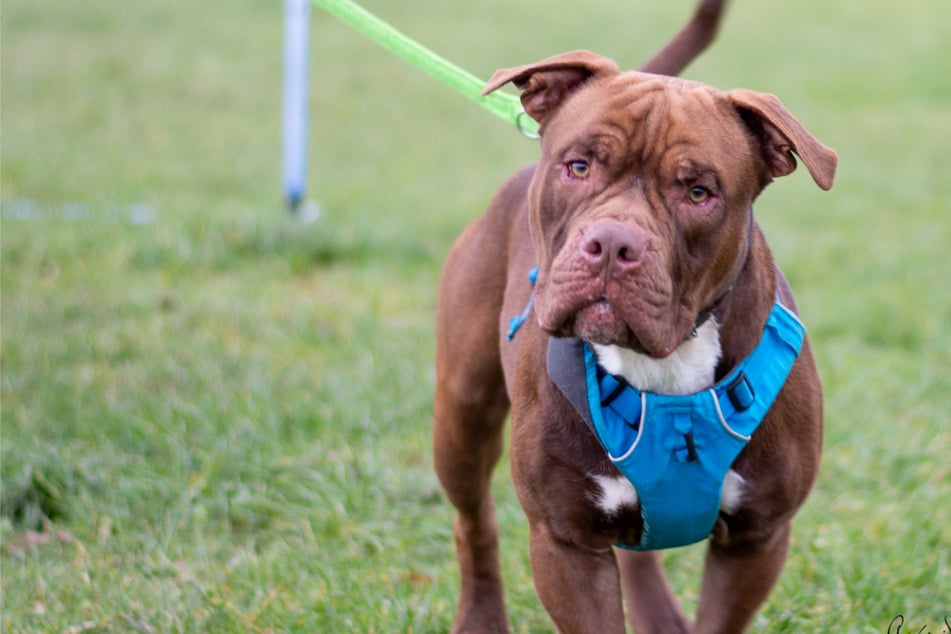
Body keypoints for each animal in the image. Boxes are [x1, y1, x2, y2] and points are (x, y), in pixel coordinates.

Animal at [436, 2, 836, 628]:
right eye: (578, 167)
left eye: (698, 193)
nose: (612, 244)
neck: (666, 365)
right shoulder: (565, 543)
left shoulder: (756, 540)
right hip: (463, 411)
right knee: (473, 522)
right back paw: (480, 618)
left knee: (636, 550)